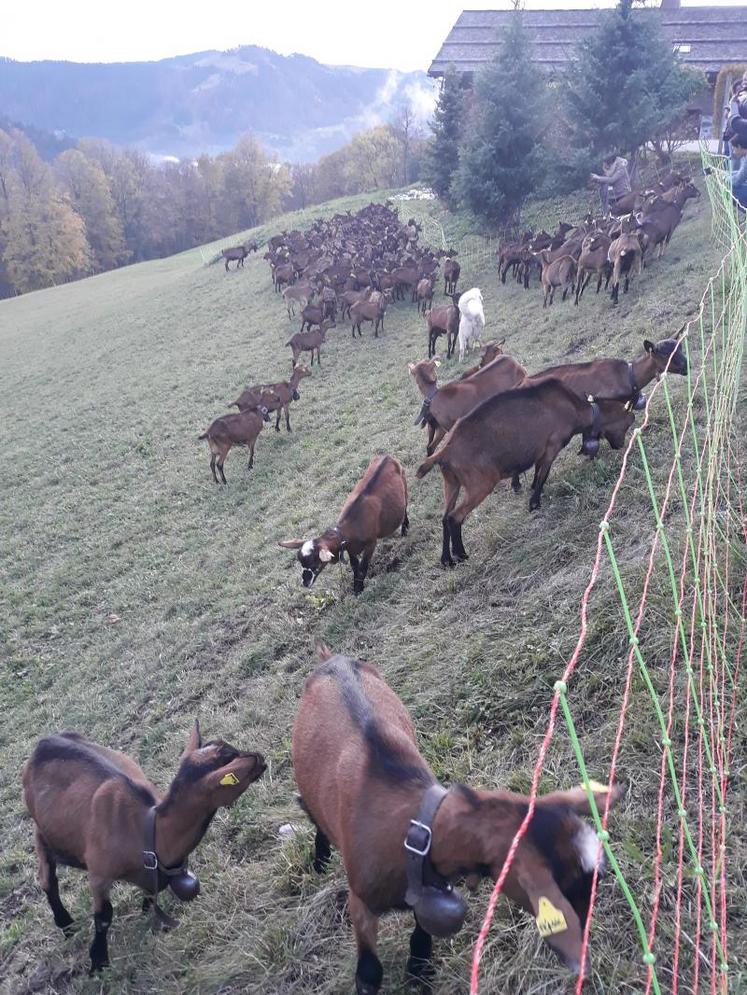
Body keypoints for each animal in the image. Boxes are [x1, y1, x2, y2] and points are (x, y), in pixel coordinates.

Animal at [23, 724, 266, 972]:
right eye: (236, 766)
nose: (262, 758)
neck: (149, 829)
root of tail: (44, 742)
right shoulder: (99, 872)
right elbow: (103, 916)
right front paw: (98, 961)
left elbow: (150, 892)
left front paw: (150, 914)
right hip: (40, 830)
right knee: (47, 878)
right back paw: (66, 924)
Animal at [280, 456, 410, 596]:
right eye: (301, 563)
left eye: (315, 563)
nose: (305, 582)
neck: (349, 530)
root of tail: (387, 456)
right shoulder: (350, 549)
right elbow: (355, 566)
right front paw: (357, 588)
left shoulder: (371, 543)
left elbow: (363, 567)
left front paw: (359, 589)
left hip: (404, 485)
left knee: (405, 508)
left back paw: (405, 530)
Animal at [292, 648, 624, 992]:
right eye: (572, 885)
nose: (583, 951)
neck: (413, 826)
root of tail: (331, 659)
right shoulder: (360, 901)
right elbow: (369, 972)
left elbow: (423, 933)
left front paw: (419, 973)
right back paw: (319, 858)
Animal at [418, 382, 636, 564]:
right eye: (627, 422)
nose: (620, 445)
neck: (573, 408)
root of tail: (445, 451)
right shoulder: (551, 447)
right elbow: (542, 476)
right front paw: (534, 504)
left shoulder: (540, 452)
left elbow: (537, 473)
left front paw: (531, 493)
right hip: (480, 483)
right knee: (455, 517)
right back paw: (461, 554)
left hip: (451, 483)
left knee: (444, 518)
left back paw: (446, 560)